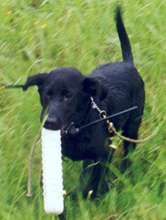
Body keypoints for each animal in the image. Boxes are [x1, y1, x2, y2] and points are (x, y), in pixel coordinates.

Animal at [22, 6, 144, 199]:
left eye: (68, 96)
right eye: (47, 95)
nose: (49, 122)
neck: (76, 130)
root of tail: (128, 64)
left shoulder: (103, 154)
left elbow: (92, 184)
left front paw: (92, 197)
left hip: (132, 127)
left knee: (128, 155)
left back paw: (126, 173)